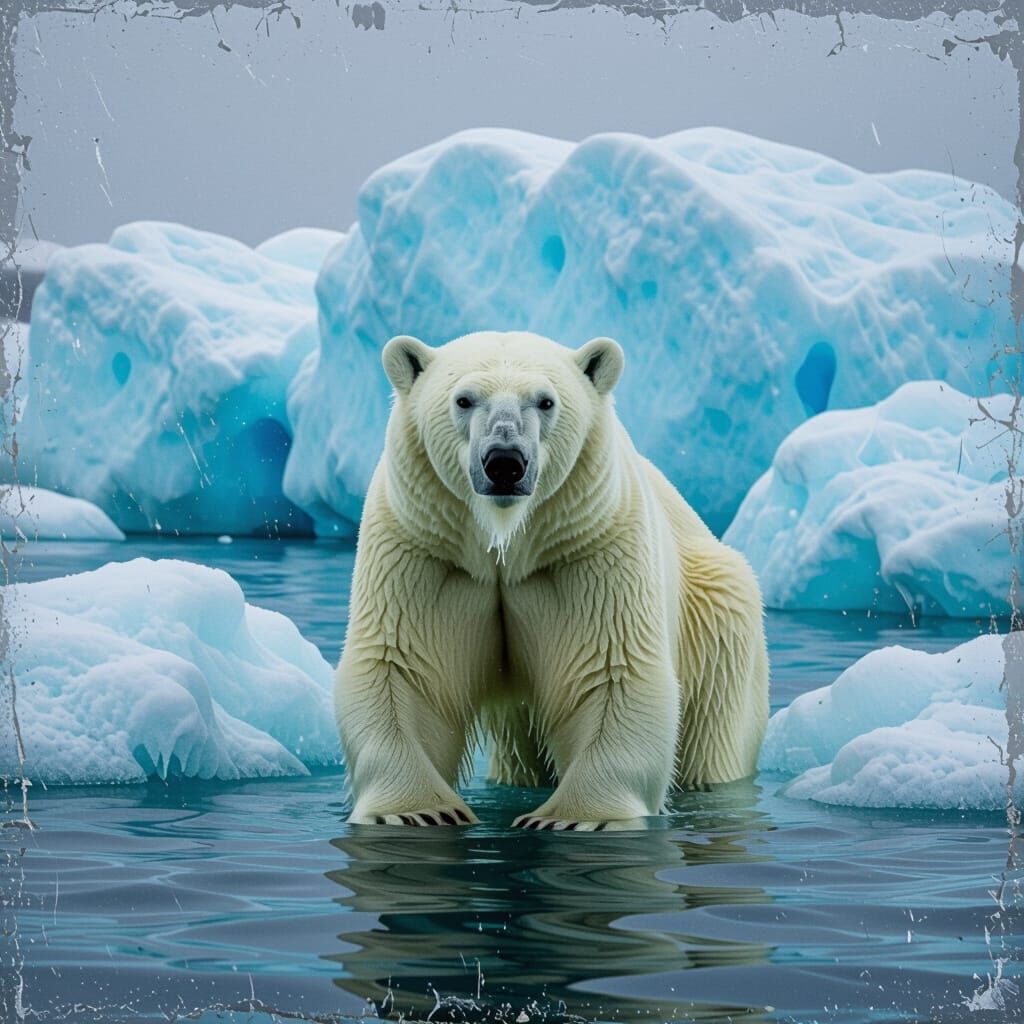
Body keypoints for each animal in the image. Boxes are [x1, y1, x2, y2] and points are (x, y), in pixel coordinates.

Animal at [336, 330, 769, 830]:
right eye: (464, 399)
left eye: (545, 401)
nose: (505, 462)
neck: (505, 540)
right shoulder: (423, 548)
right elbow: (401, 668)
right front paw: (418, 811)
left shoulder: (590, 548)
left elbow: (613, 669)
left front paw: (573, 818)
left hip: (717, 616)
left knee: (713, 734)